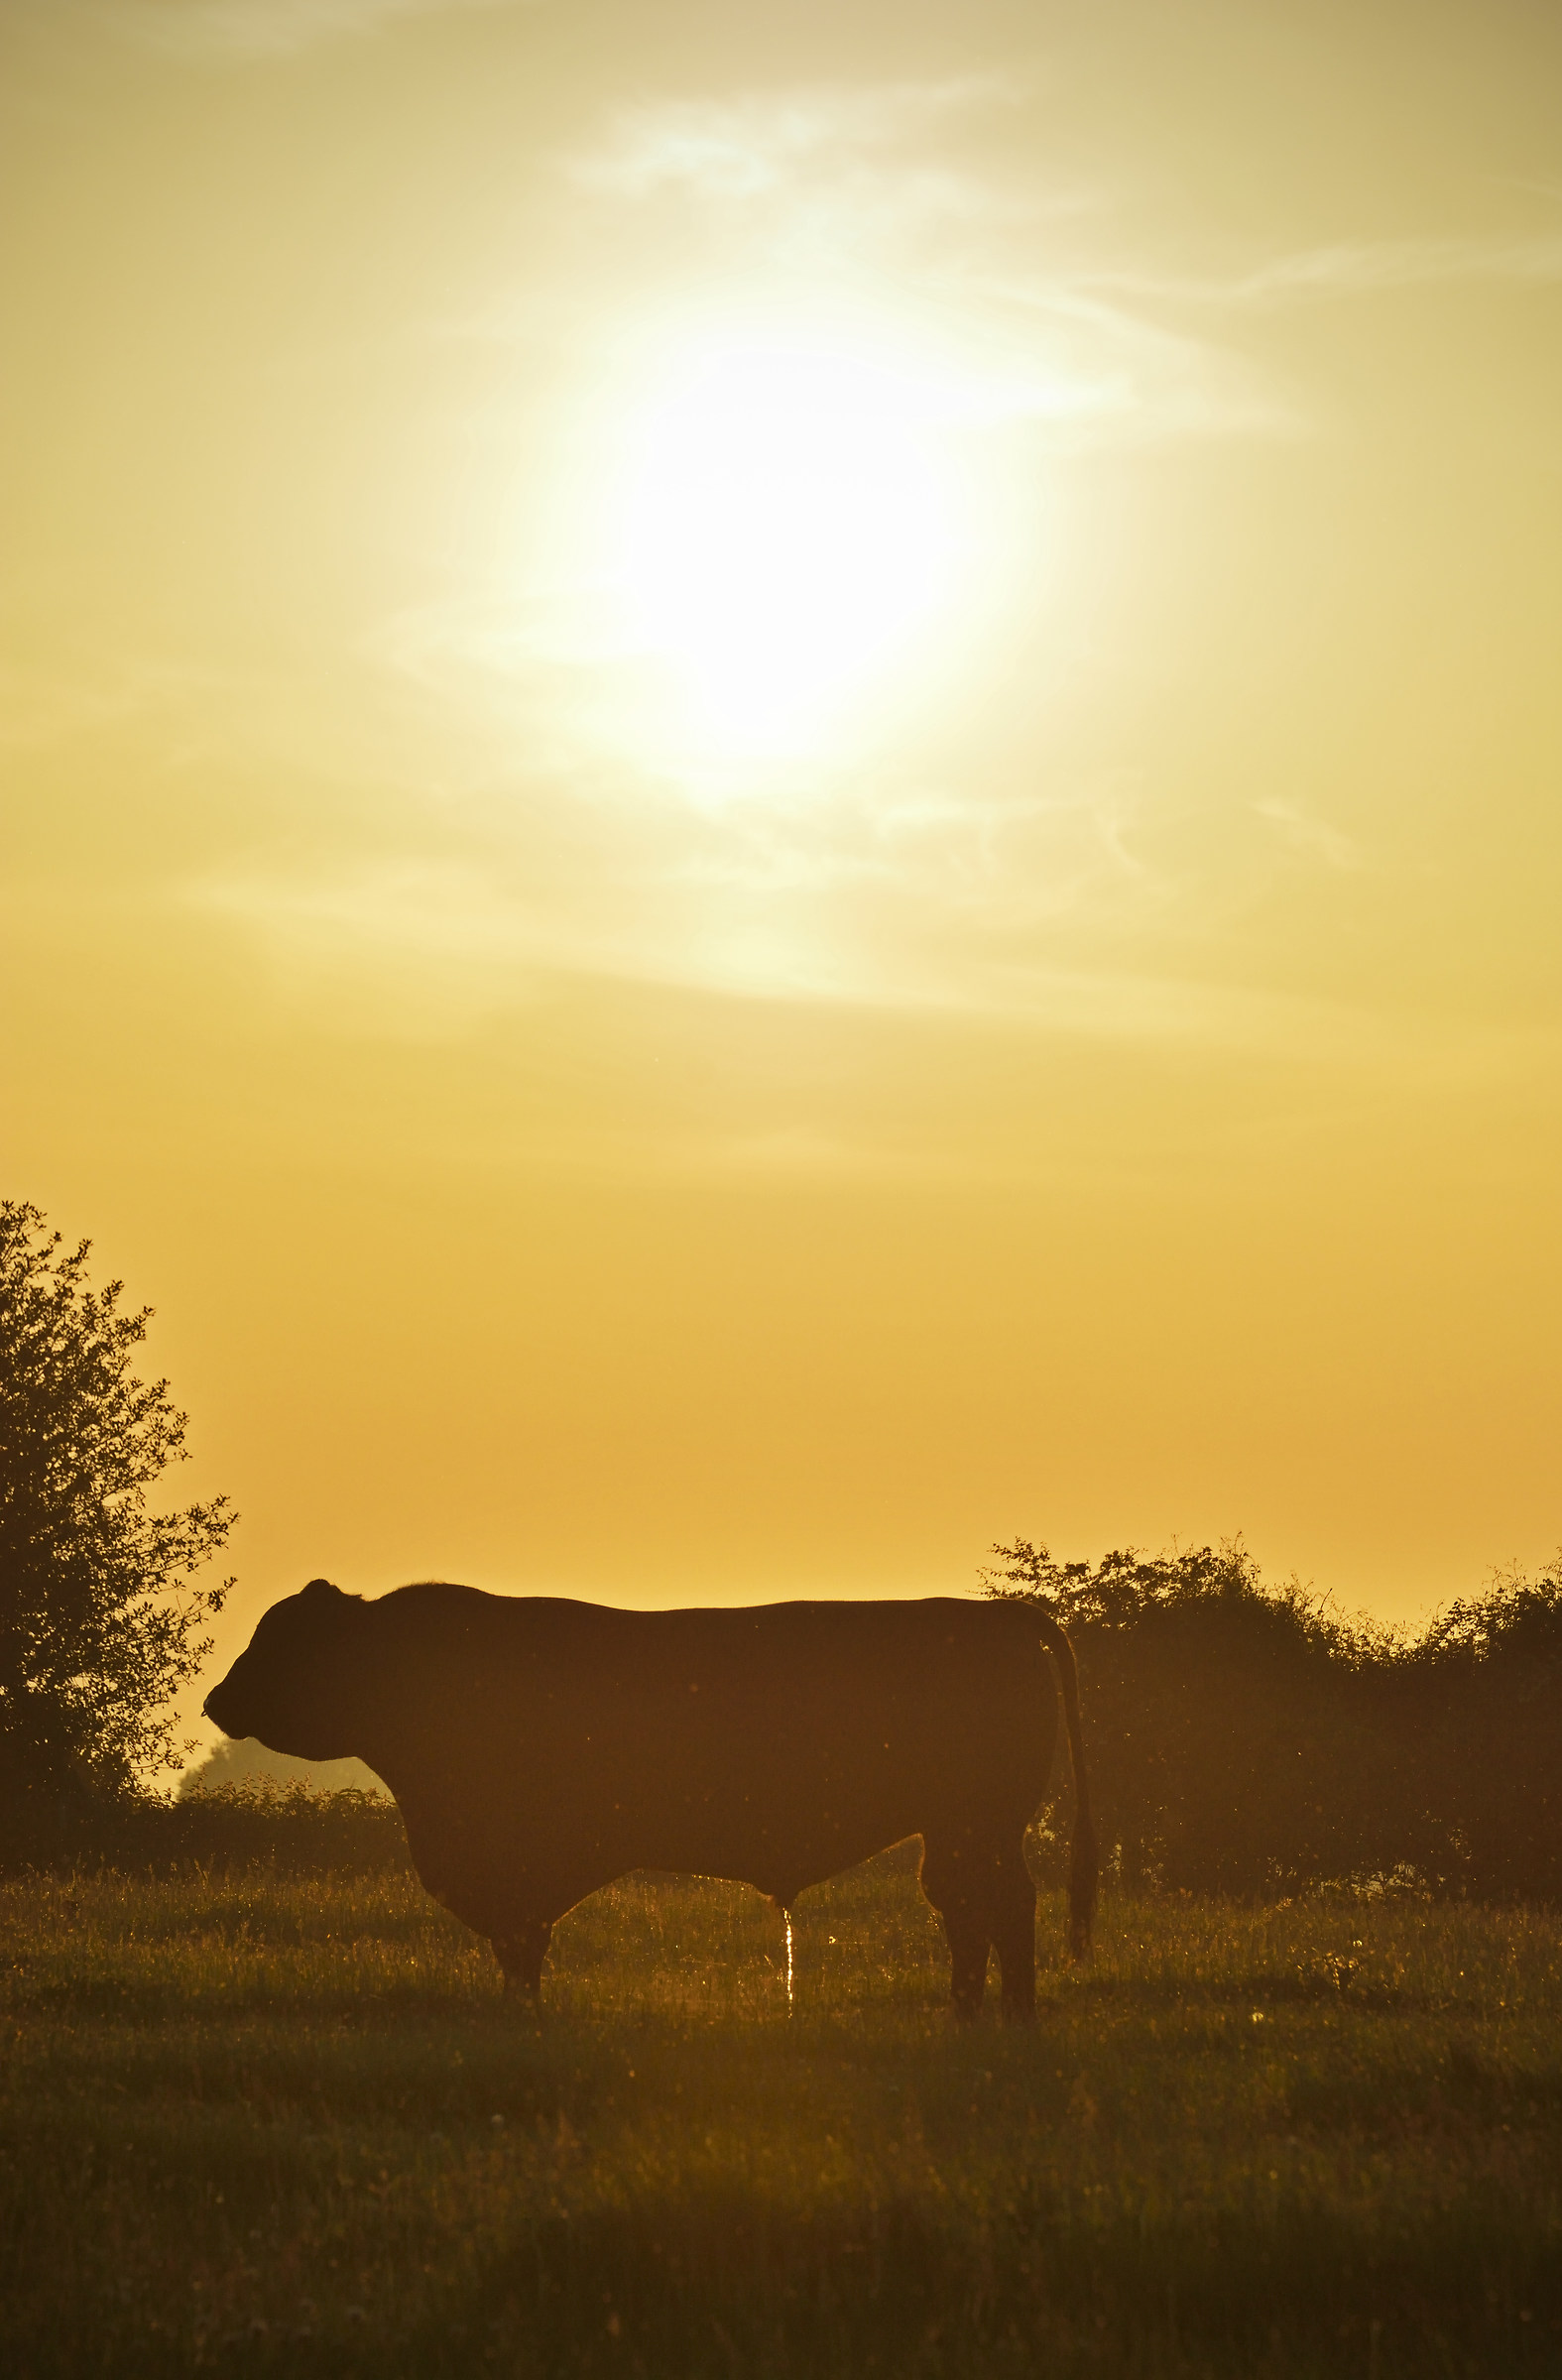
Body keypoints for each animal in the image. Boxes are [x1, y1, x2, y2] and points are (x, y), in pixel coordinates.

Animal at [203, 1581, 1095, 2018]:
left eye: (283, 1639)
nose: (215, 1700)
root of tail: (992, 1615)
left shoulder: (513, 1865)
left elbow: (520, 1941)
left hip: (980, 1824)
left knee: (1000, 1905)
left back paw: (1010, 2017)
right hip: (957, 1829)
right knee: (963, 1908)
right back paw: (970, 2012)